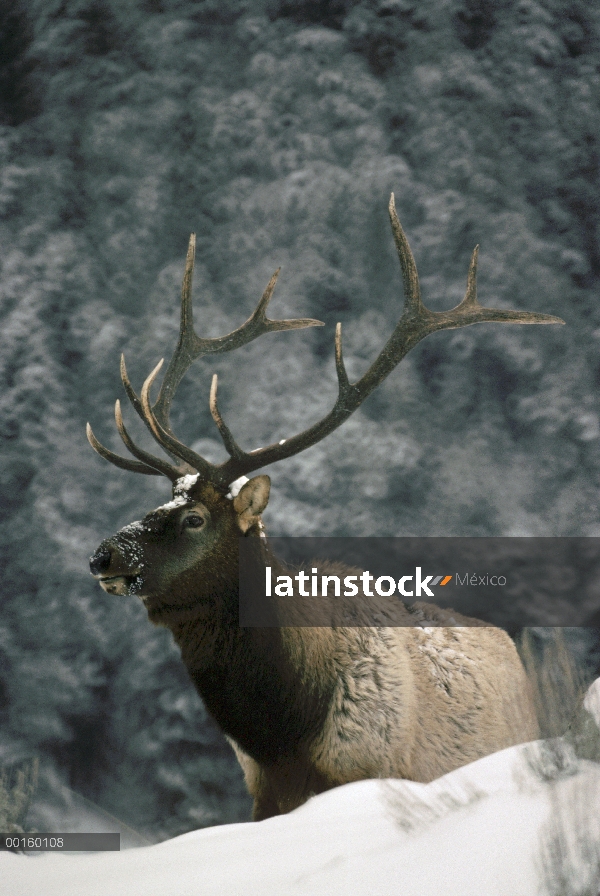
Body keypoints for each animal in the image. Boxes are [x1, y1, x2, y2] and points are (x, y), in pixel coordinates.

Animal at [88, 196, 564, 820]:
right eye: (159, 501)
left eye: (195, 518)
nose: (102, 556)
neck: (284, 735)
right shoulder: (263, 799)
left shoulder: (378, 773)